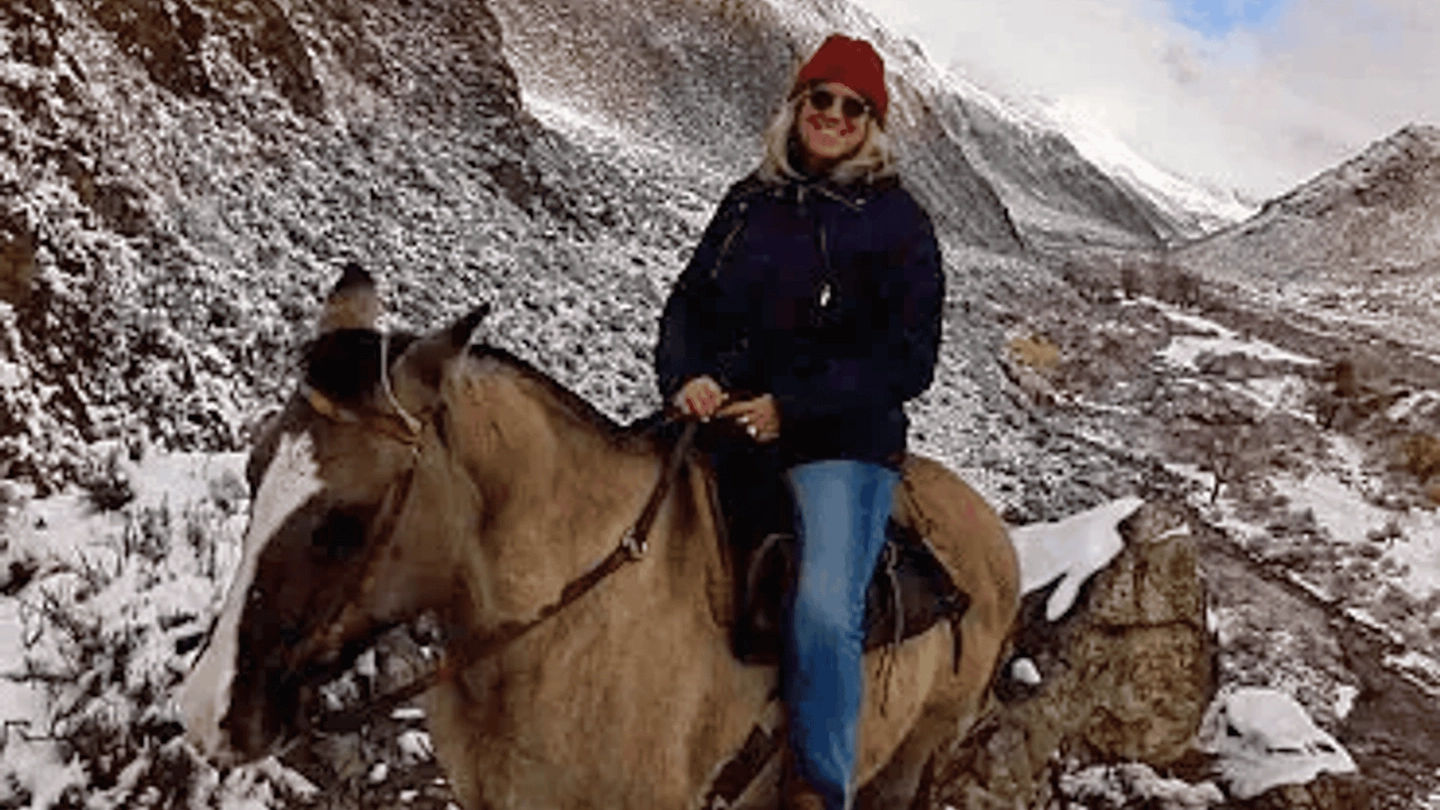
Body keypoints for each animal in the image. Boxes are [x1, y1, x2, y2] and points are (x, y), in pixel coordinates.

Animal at [178, 269, 1019, 809]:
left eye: (347, 521)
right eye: (253, 470)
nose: (207, 711)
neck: (560, 628)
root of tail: (996, 538)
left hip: (910, 760)